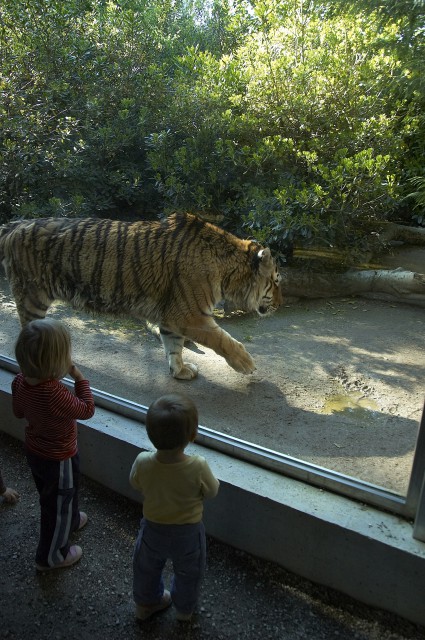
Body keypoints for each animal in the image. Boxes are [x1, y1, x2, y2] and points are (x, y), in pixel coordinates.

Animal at [0, 212, 282, 380]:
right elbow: (225, 340)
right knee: (26, 330)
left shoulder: (172, 318)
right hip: (33, 296)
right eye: (276, 282)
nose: (280, 304)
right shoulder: (191, 316)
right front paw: (246, 364)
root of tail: (17, 223)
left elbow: (174, 347)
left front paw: (180, 371)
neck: (229, 271)